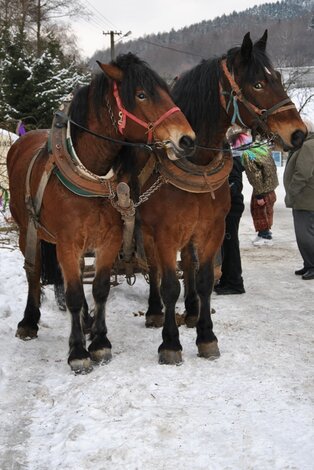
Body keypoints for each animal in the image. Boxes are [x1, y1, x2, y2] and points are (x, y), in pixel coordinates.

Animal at [7, 51, 195, 372]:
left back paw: (84, 321)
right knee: (33, 272)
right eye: (141, 95)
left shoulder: (109, 241)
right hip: (26, 230)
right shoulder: (68, 243)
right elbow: (72, 293)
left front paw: (99, 341)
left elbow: (99, 288)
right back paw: (30, 322)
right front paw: (77, 352)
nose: (187, 139)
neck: (90, 172)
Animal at [131, 31, 306, 366]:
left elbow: (203, 280)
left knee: (187, 263)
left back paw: (190, 311)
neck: (195, 162)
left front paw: (206, 336)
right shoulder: (164, 233)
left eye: (278, 77)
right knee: (156, 270)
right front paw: (170, 343)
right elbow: (169, 284)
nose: (299, 133)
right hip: (147, 231)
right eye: (258, 84)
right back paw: (155, 311)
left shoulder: (212, 229)